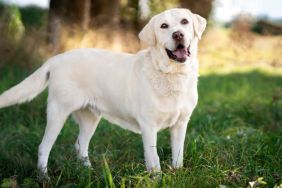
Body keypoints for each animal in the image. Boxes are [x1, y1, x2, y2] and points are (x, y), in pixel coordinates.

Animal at [0, 8, 206, 176]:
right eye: (164, 26)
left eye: (185, 22)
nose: (178, 35)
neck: (172, 74)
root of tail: (55, 59)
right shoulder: (148, 126)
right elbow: (153, 159)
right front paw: (157, 179)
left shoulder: (181, 124)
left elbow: (178, 155)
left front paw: (177, 174)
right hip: (58, 112)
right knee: (44, 147)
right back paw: (44, 177)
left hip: (90, 117)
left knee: (80, 145)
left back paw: (88, 172)